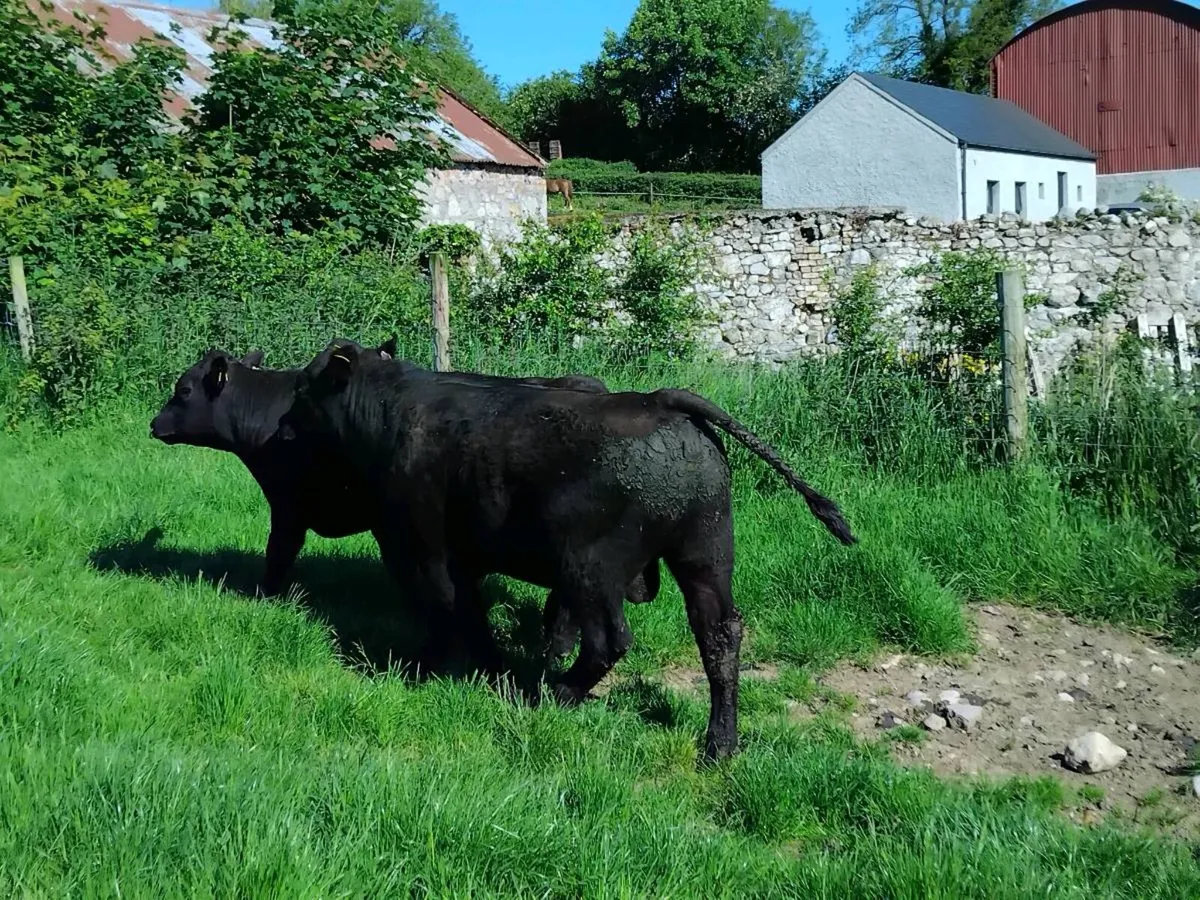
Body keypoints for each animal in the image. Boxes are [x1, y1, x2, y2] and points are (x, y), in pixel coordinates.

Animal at [279, 338, 857, 761]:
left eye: (303, 389)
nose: (281, 427)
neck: (391, 414)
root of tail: (656, 398)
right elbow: (467, 611)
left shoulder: (423, 549)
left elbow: (447, 611)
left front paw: (443, 669)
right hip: (705, 554)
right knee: (719, 637)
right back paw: (720, 744)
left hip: (588, 565)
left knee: (609, 639)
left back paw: (557, 692)